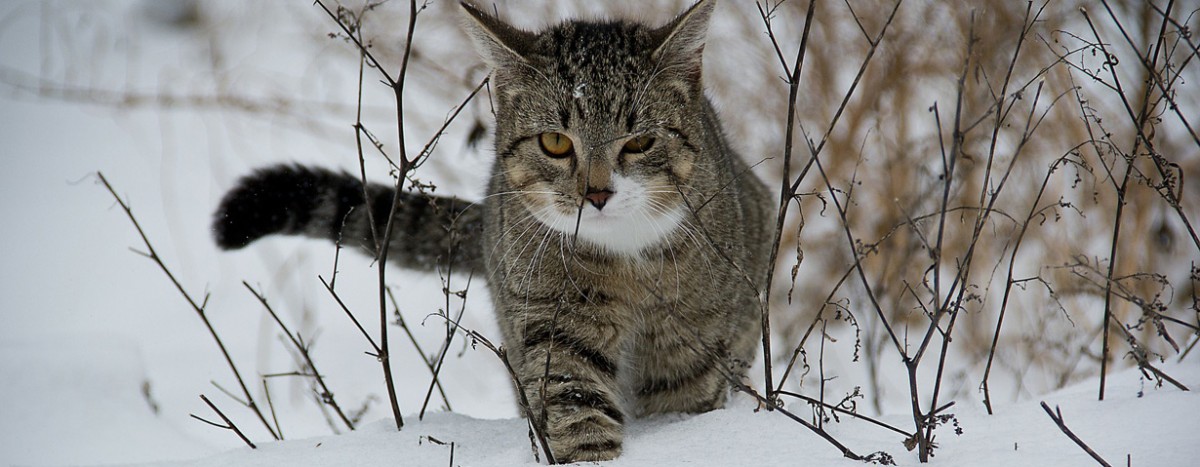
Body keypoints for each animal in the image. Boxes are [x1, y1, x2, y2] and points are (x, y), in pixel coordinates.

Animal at [213, 0, 768, 458]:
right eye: (554, 142)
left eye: (640, 142)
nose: (597, 194)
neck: (623, 258)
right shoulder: (551, 322)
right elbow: (577, 409)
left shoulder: (691, 342)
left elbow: (684, 399)